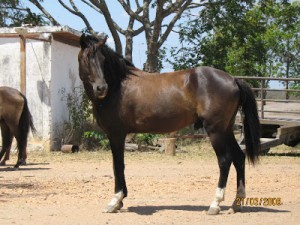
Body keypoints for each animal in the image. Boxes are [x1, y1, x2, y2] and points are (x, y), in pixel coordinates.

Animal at [78, 33, 260, 214]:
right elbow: (119, 166)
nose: (101, 88)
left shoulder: (116, 134)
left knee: (225, 160)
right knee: (239, 157)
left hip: (216, 131)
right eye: (86, 58)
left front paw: (115, 201)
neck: (118, 87)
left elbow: (117, 165)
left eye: (103, 59)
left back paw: (215, 204)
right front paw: (120, 200)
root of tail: (234, 80)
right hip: (226, 130)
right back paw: (236, 204)